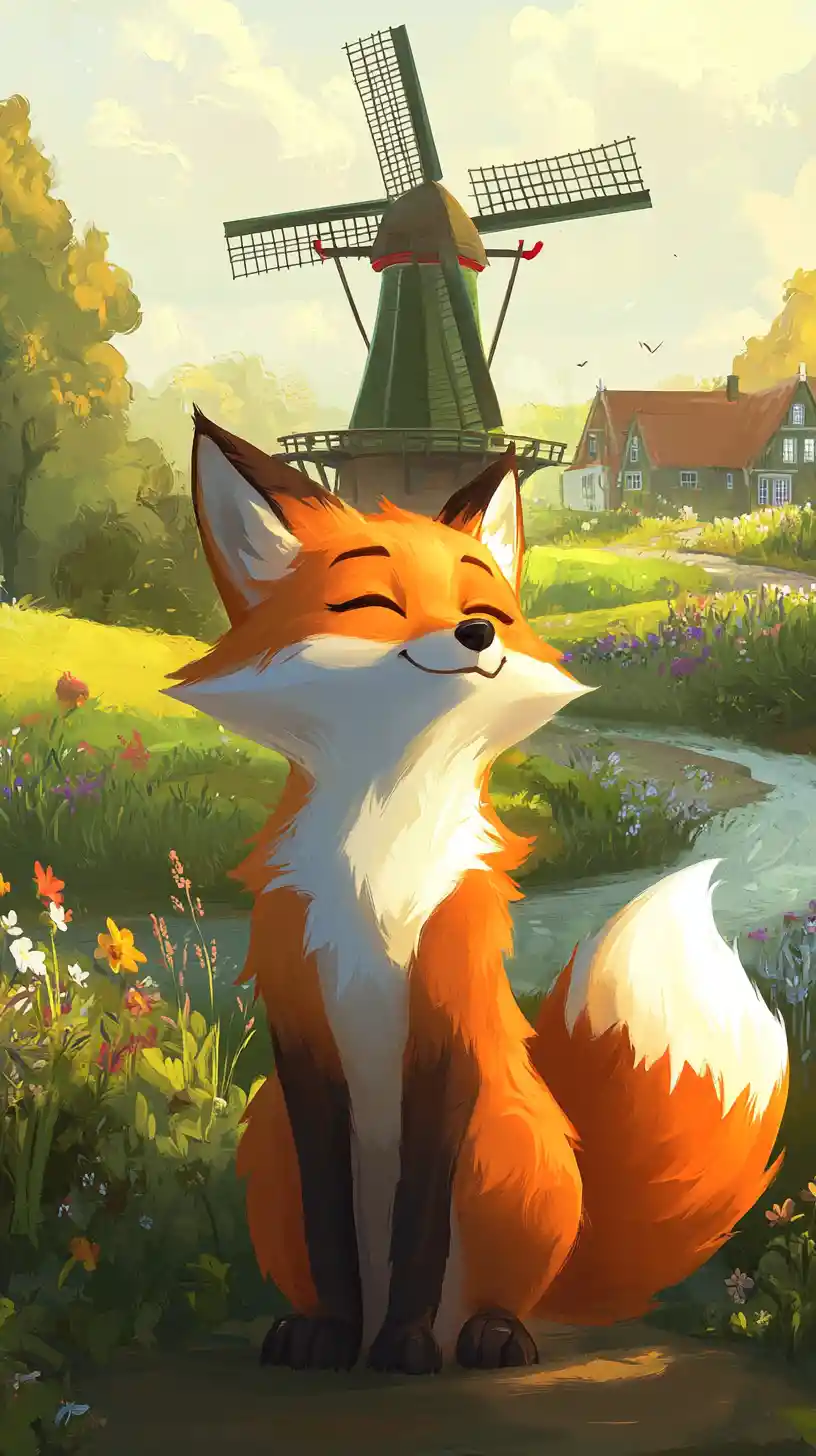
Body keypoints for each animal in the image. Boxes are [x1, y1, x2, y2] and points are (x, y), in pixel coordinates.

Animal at [162, 407, 789, 1377]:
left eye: (482, 608)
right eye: (375, 604)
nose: (474, 639)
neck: (381, 858)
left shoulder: (448, 1004)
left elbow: (419, 1221)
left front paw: (406, 1347)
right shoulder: (300, 1017)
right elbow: (333, 1224)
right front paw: (335, 1337)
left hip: (506, 1151)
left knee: (496, 1296)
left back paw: (487, 1335)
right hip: (269, 1151)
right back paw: (324, 1327)